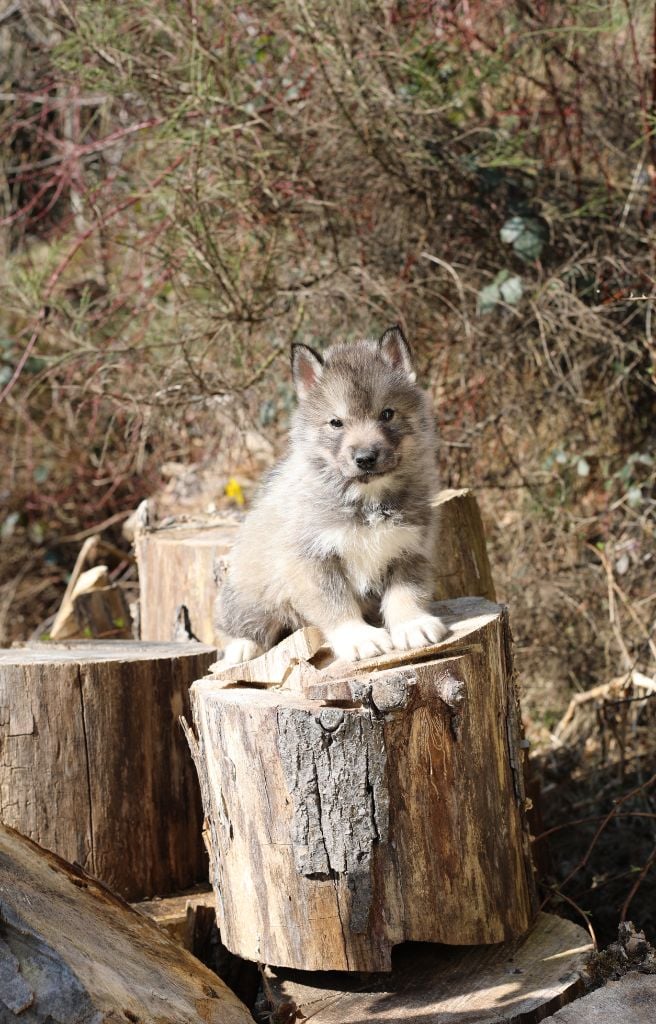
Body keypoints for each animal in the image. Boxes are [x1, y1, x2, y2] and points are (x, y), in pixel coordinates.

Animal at [213, 327, 446, 663]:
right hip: (248, 588)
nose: (365, 458)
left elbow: (406, 592)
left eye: (387, 414)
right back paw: (242, 646)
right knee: (243, 621)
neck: (366, 498)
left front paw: (412, 624)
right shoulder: (312, 559)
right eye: (336, 422)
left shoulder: (409, 547)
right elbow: (336, 603)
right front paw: (359, 637)